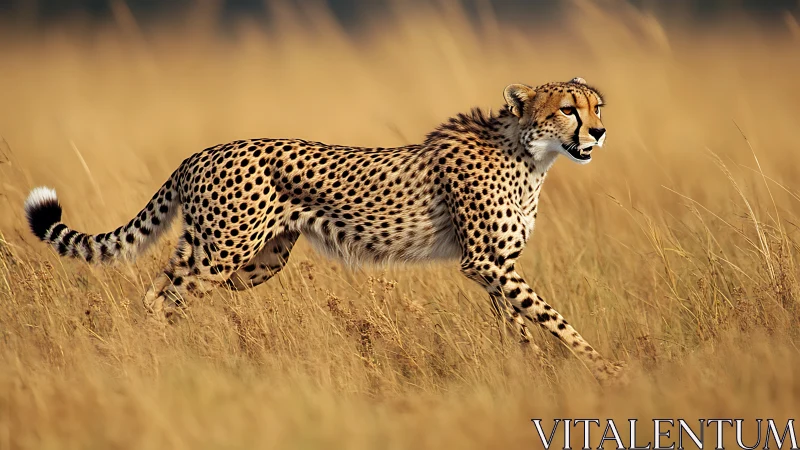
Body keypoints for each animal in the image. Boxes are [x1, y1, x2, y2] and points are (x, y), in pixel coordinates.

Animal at [24, 77, 624, 383]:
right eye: (568, 109)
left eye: (597, 106)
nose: (599, 132)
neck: (529, 153)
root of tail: (200, 153)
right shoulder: (485, 262)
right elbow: (553, 318)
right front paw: (609, 369)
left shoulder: (495, 266)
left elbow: (522, 322)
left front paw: (530, 370)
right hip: (223, 253)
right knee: (164, 296)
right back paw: (157, 357)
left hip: (247, 258)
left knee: (159, 286)